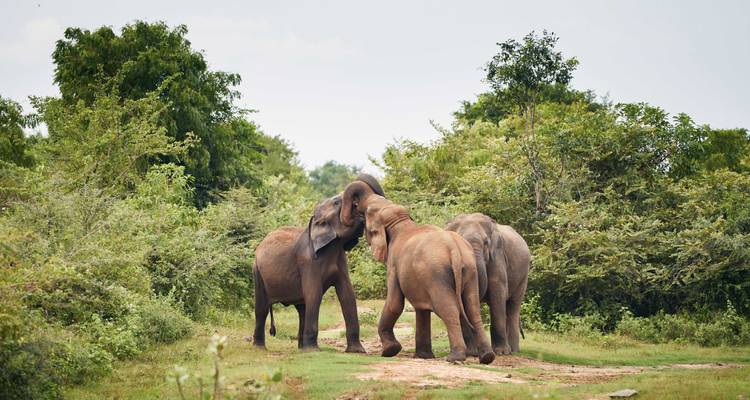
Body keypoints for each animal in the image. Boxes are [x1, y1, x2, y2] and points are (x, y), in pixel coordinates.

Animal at [251, 174, 384, 352]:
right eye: (336, 202)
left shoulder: (340, 260)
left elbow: (348, 295)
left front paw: (357, 351)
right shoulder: (307, 261)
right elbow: (314, 294)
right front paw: (314, 350)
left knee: (302, 308)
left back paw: (302, 349)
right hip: (257, 272)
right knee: (261, 308)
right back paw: (260, 348)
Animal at [340, 182, 495, 364]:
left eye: (367, 213)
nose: (355, 209)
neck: (401, 222)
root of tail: (454, 250)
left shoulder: (394, 265)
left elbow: (394, 303)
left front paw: (390, 351)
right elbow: (421, 309)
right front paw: (423, 356)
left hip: (437, 275)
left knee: (448, 309)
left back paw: (454, 357)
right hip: (470, 271)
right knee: (473, 308)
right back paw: (487, 357)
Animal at [445, 213, 530, 354]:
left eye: (486, 243)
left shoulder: (497, 256)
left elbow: (498, 291)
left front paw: (501, 352)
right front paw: (471, 353)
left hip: (523, 276)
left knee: (513, 306)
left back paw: (513, 351)